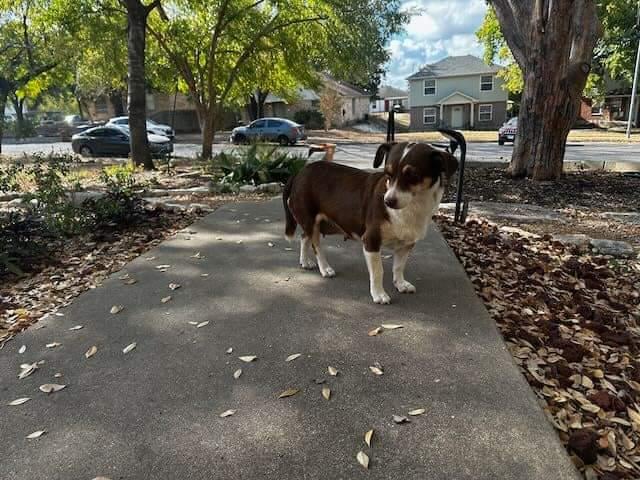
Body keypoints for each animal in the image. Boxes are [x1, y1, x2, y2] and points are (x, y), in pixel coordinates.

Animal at [282, 131, 462, 304]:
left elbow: (398, 267)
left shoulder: (406, 245)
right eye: (388, 174)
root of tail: (298, 174)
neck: (413, 206)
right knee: (316, 246)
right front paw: (379, 294)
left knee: (304, 237)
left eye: (413, 175)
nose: (388, 201)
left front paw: (400, 284)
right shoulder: (371, 241)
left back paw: (305, 261)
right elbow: (378, 272)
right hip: (311, 221)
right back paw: (325, 268)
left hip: (311, 224)